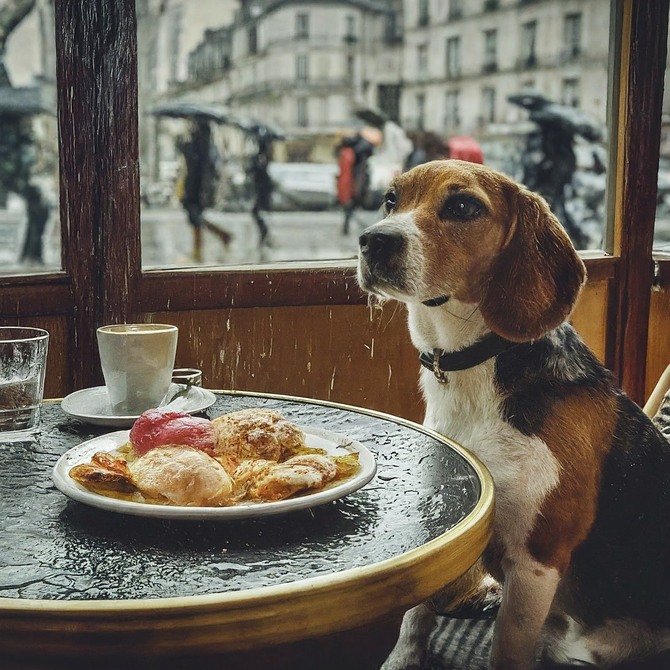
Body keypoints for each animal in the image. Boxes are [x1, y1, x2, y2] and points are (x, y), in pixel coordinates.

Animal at [360, 160, 670, 668]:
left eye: (463, 206)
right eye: (391, 200)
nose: (374, 240)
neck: (472, 367)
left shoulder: (535, 561)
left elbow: (506, 646)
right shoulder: (446, 518)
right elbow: (415, 613)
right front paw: (402, 658)